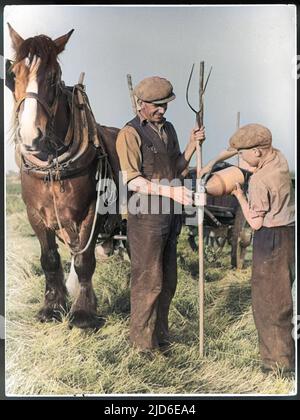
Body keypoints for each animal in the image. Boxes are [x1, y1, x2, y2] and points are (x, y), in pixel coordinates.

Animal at [5, 24, 121, 330]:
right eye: (13, 74)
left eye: (53, 77)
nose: (30, 136)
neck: (52, 165)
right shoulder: (35, 213)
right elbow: (50, 259)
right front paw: (53, 306)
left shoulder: (91, 211)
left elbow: (84, 260)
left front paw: (83, 312)